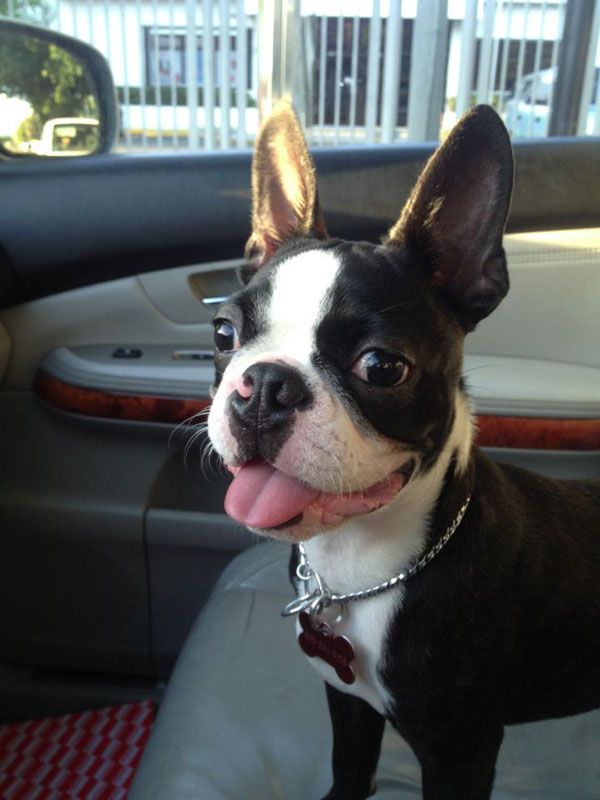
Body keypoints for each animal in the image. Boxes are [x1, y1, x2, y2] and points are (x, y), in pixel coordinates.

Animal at [209, 103, 600, 796]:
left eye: (382, 367)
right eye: (224, 333)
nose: (266, 387)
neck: (363, 569)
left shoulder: (459, 752)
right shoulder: (349, 704)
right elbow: (349, 770)